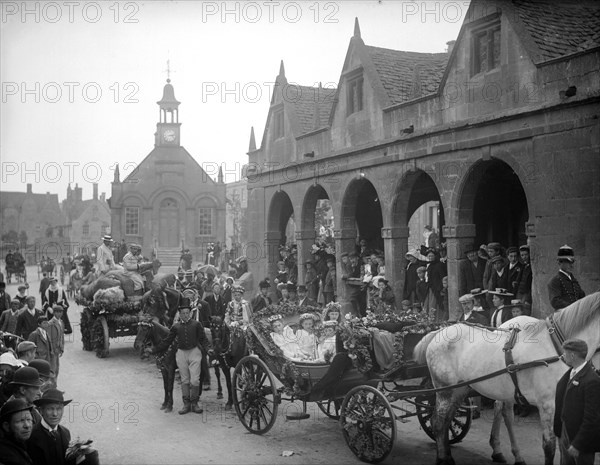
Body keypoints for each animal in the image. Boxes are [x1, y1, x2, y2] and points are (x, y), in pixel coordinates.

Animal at [414, 292, 600, 464]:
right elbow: (550, 447)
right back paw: (443, 458)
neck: (557, 348)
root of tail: (439, 331)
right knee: (438, 422)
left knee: (446, 421)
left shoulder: (561, 405)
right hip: (445, 390)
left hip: (460, 389)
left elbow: (564, 447)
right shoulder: (548, 405)